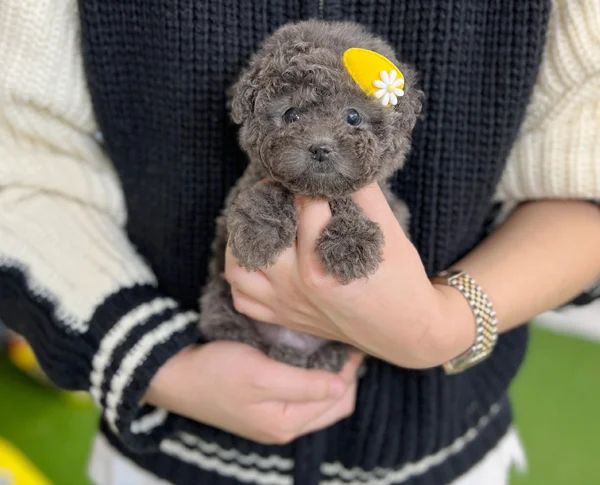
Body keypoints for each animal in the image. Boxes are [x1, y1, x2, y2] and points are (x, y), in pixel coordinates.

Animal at [198, 18, 422, 366]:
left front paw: (352, 245)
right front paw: (258, 234)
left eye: (353, 117)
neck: (315, 193)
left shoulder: (390, 206)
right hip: (220, 304)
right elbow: (270, 190)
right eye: (291, 115)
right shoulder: (247, 184)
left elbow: (348, 200)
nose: (320, 147)